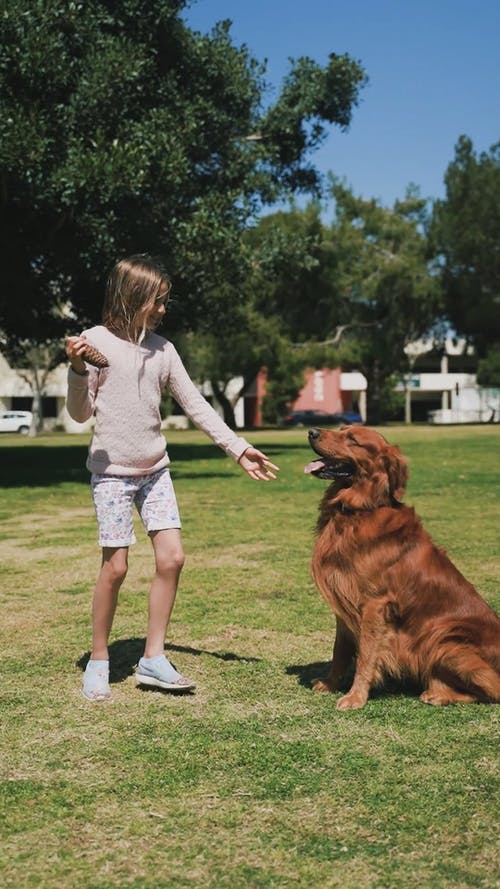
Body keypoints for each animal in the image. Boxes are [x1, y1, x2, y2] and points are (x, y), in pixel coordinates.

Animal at [304, 426, 500, 712]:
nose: (312, 432)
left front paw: (356, 696)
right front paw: (330, 683)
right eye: (340, 429)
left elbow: (365, 655)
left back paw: (439, 695)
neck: (359, 510)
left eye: (352, 440)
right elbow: (339, 650)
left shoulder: (374, 603)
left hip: (443, 639)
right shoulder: (344, 599)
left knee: (494, 690)